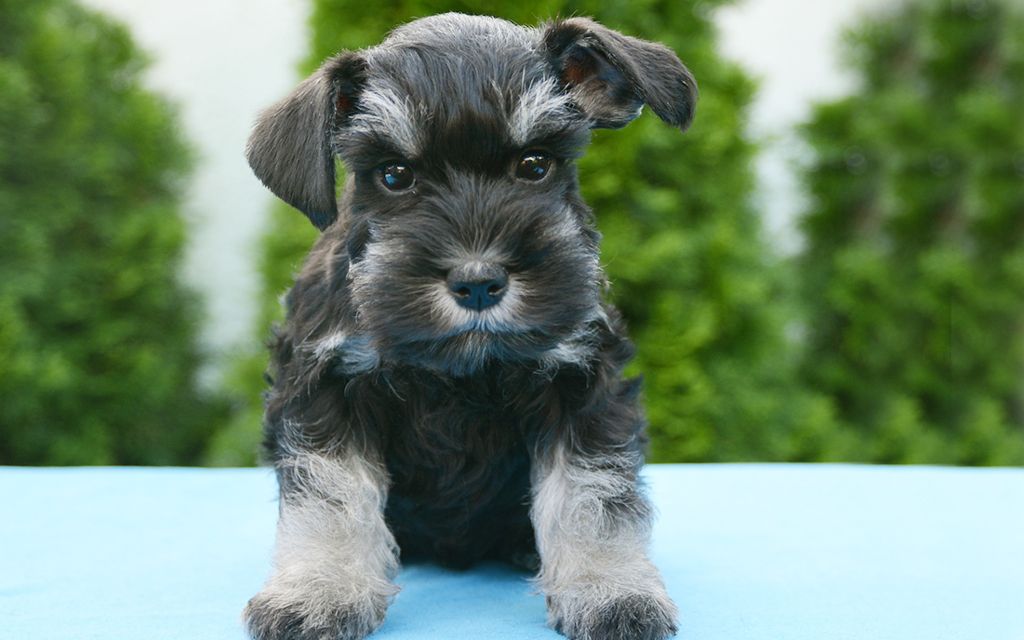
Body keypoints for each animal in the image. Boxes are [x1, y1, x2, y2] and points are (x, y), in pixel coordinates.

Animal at [244, 11, 700, 638]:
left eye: (535, 164)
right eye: (394, 175)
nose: (479, 282)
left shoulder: (583, 385)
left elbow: (590, 495)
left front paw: (610, 592)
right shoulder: (325, 387)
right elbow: (329, 496)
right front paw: (318, 593)